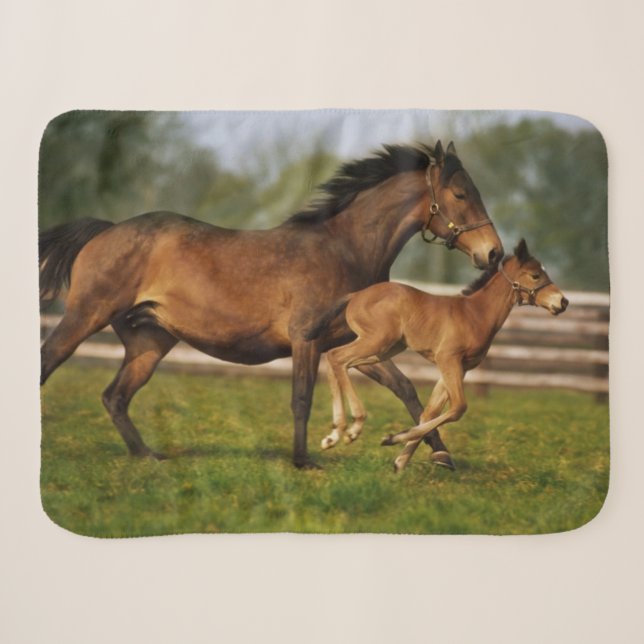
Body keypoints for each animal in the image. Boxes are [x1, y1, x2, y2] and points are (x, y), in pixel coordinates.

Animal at [39, 140, 503, 469]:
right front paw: (305, 459)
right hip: (85, 317)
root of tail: (107, 229)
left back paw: (148, 456)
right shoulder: (307, 340)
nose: (494, 253)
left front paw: (440, 454)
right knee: (51, 362)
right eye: (460, 194)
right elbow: (302, 399)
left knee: (115, 397)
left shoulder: (356, 343)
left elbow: (406, 389)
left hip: (148, 343)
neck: (344, 250)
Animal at [308, 239, 567, 472]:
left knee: (340, 361)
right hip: (377, 340)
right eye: (535, 275)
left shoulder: (458, 368)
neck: (475, 314)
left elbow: (430, 412)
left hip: (385, 349)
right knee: (337, 356)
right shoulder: (447, 358)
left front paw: (400, 460)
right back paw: (352, 428)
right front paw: (394, 438)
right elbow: (458, 407)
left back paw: (335, 434)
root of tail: (355, 295)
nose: (563, 302)